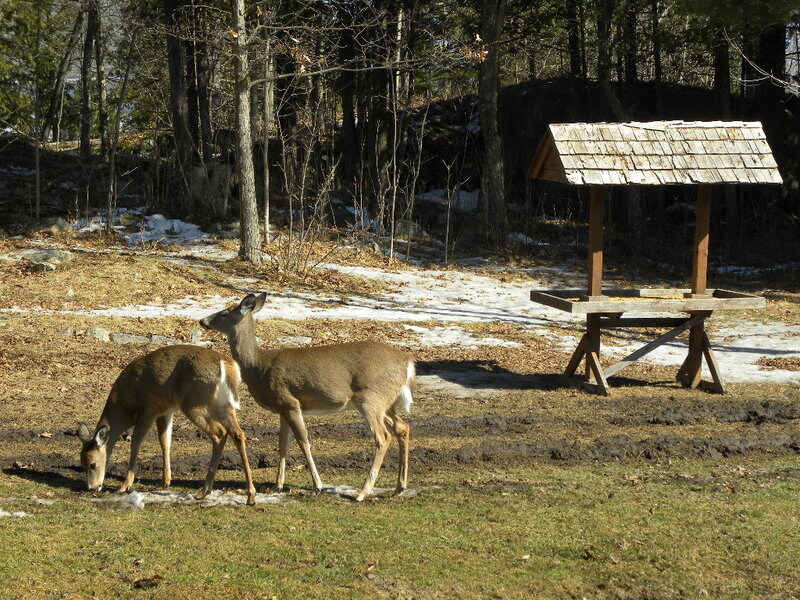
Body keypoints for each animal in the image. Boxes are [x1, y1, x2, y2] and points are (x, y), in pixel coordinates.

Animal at [77, 344, 257, 505]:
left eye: (93, 464)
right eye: (82, 463)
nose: (92, 487)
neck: (124, 405)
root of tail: (230, 367)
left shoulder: (149, 408)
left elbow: (136, 441)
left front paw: (124, 486)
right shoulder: (166, 410)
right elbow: (165, 441)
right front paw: (166, 482)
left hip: (195, 402)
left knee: (219, 433)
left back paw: (205, 491)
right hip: (224, 404)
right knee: (237, 433)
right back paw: (249, 496)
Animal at [199, 293, 414, 502]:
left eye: (224, 313)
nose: (202, 320)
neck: (258, 367)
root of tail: (408, 362)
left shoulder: (290, 402)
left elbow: (303, 441)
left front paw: (317, 485)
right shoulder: (282, 408)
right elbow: (283, 444)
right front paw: (277, 485)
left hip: (370, 397)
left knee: (383, 436)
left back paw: (362, 493)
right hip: (386, 402)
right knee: (402, 427)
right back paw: (399, 488)